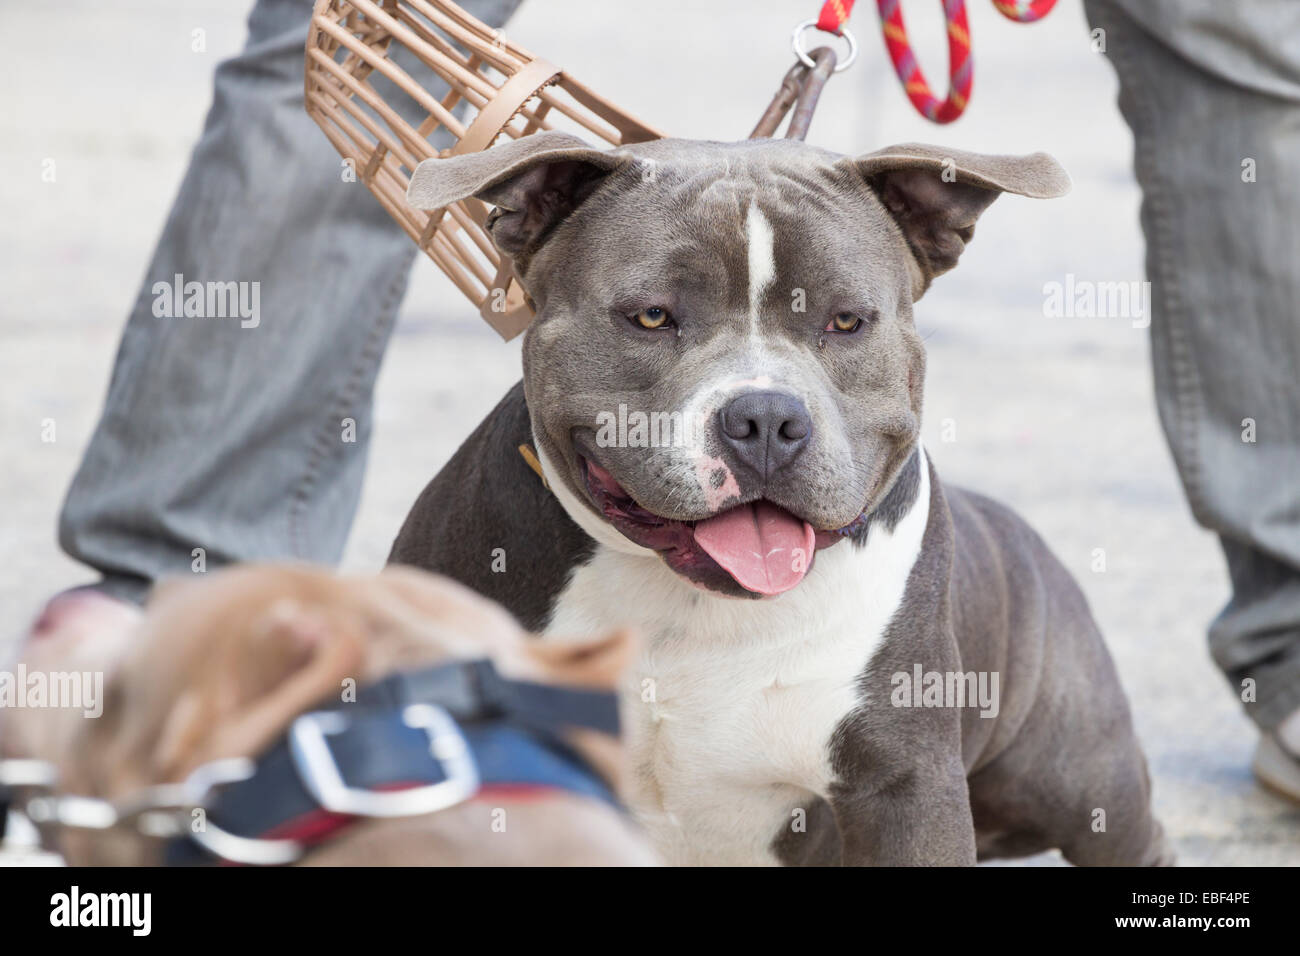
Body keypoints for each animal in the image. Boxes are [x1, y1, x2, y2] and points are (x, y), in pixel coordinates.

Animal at [390, 130, 1175, 868]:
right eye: (652, 316)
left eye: (848, 321)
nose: (765, 419)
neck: (694, 609)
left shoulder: (906, 789)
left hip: (1079, 781)